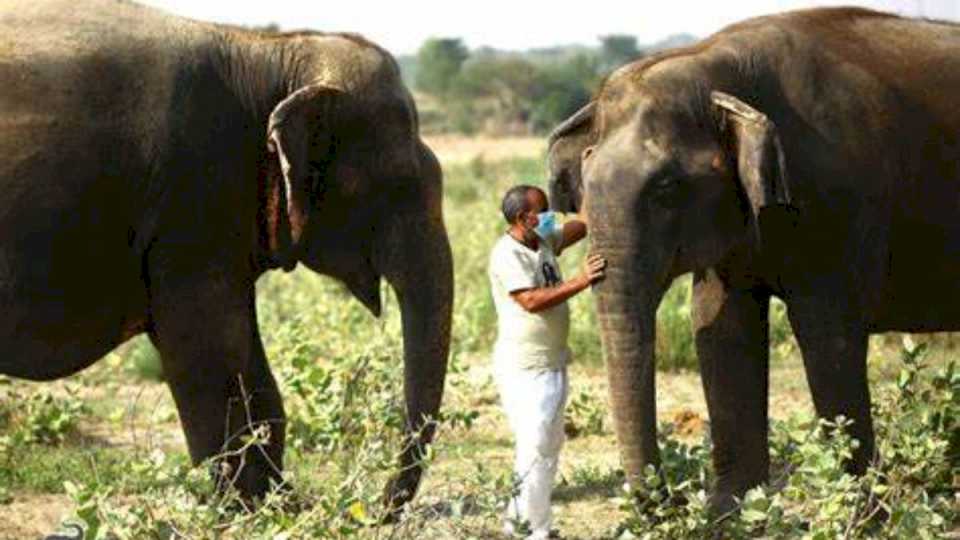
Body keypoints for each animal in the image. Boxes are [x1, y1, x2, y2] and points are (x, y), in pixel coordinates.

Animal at [0, 0, 452, 512]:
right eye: (398, 186)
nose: (382, 505)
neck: (268, 54)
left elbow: (244, 360)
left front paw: (281, 505)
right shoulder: (193, 198)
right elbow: (208, 351)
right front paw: (248, 508)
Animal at [552, 6, 960, 512]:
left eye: (666, 189)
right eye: (584, 183)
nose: (672, 500)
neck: (713, 67)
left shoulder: (837, 204)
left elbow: (828, 335)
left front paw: (860, 511)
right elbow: (719, 327)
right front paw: (727, 513)